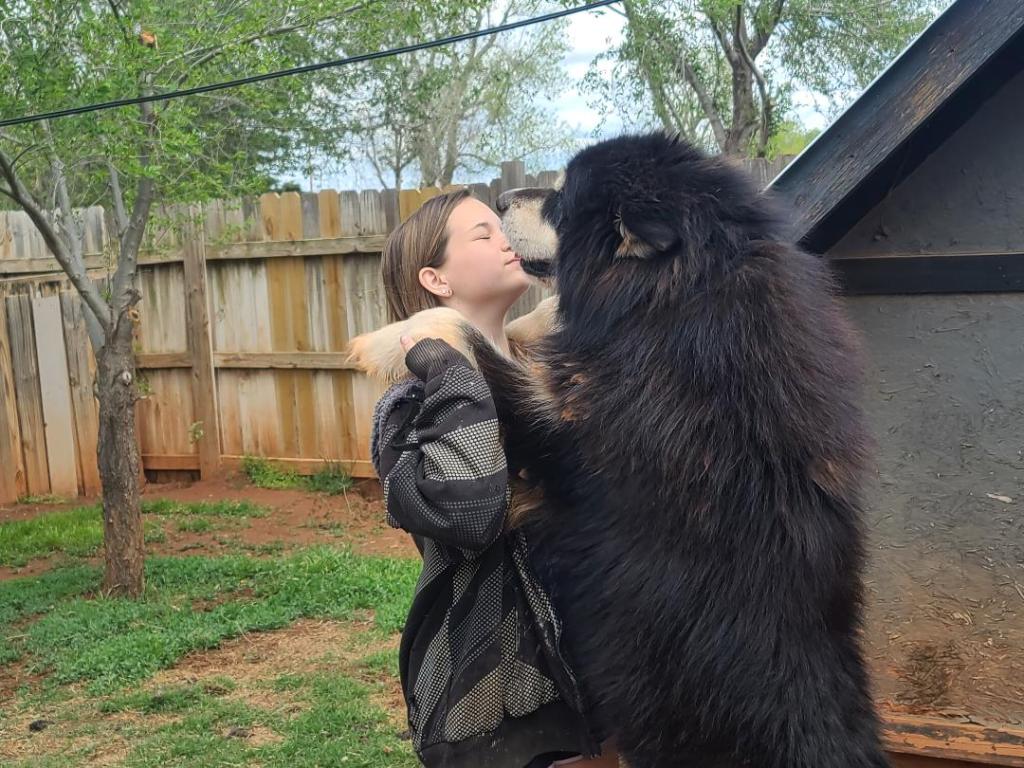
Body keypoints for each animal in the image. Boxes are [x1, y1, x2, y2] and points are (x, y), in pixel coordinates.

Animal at [350, 132, 887, 767]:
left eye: (561, 200)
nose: (501, 199)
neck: (678, 298)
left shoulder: (567, 440)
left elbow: (471, 337)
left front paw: (391, 336)